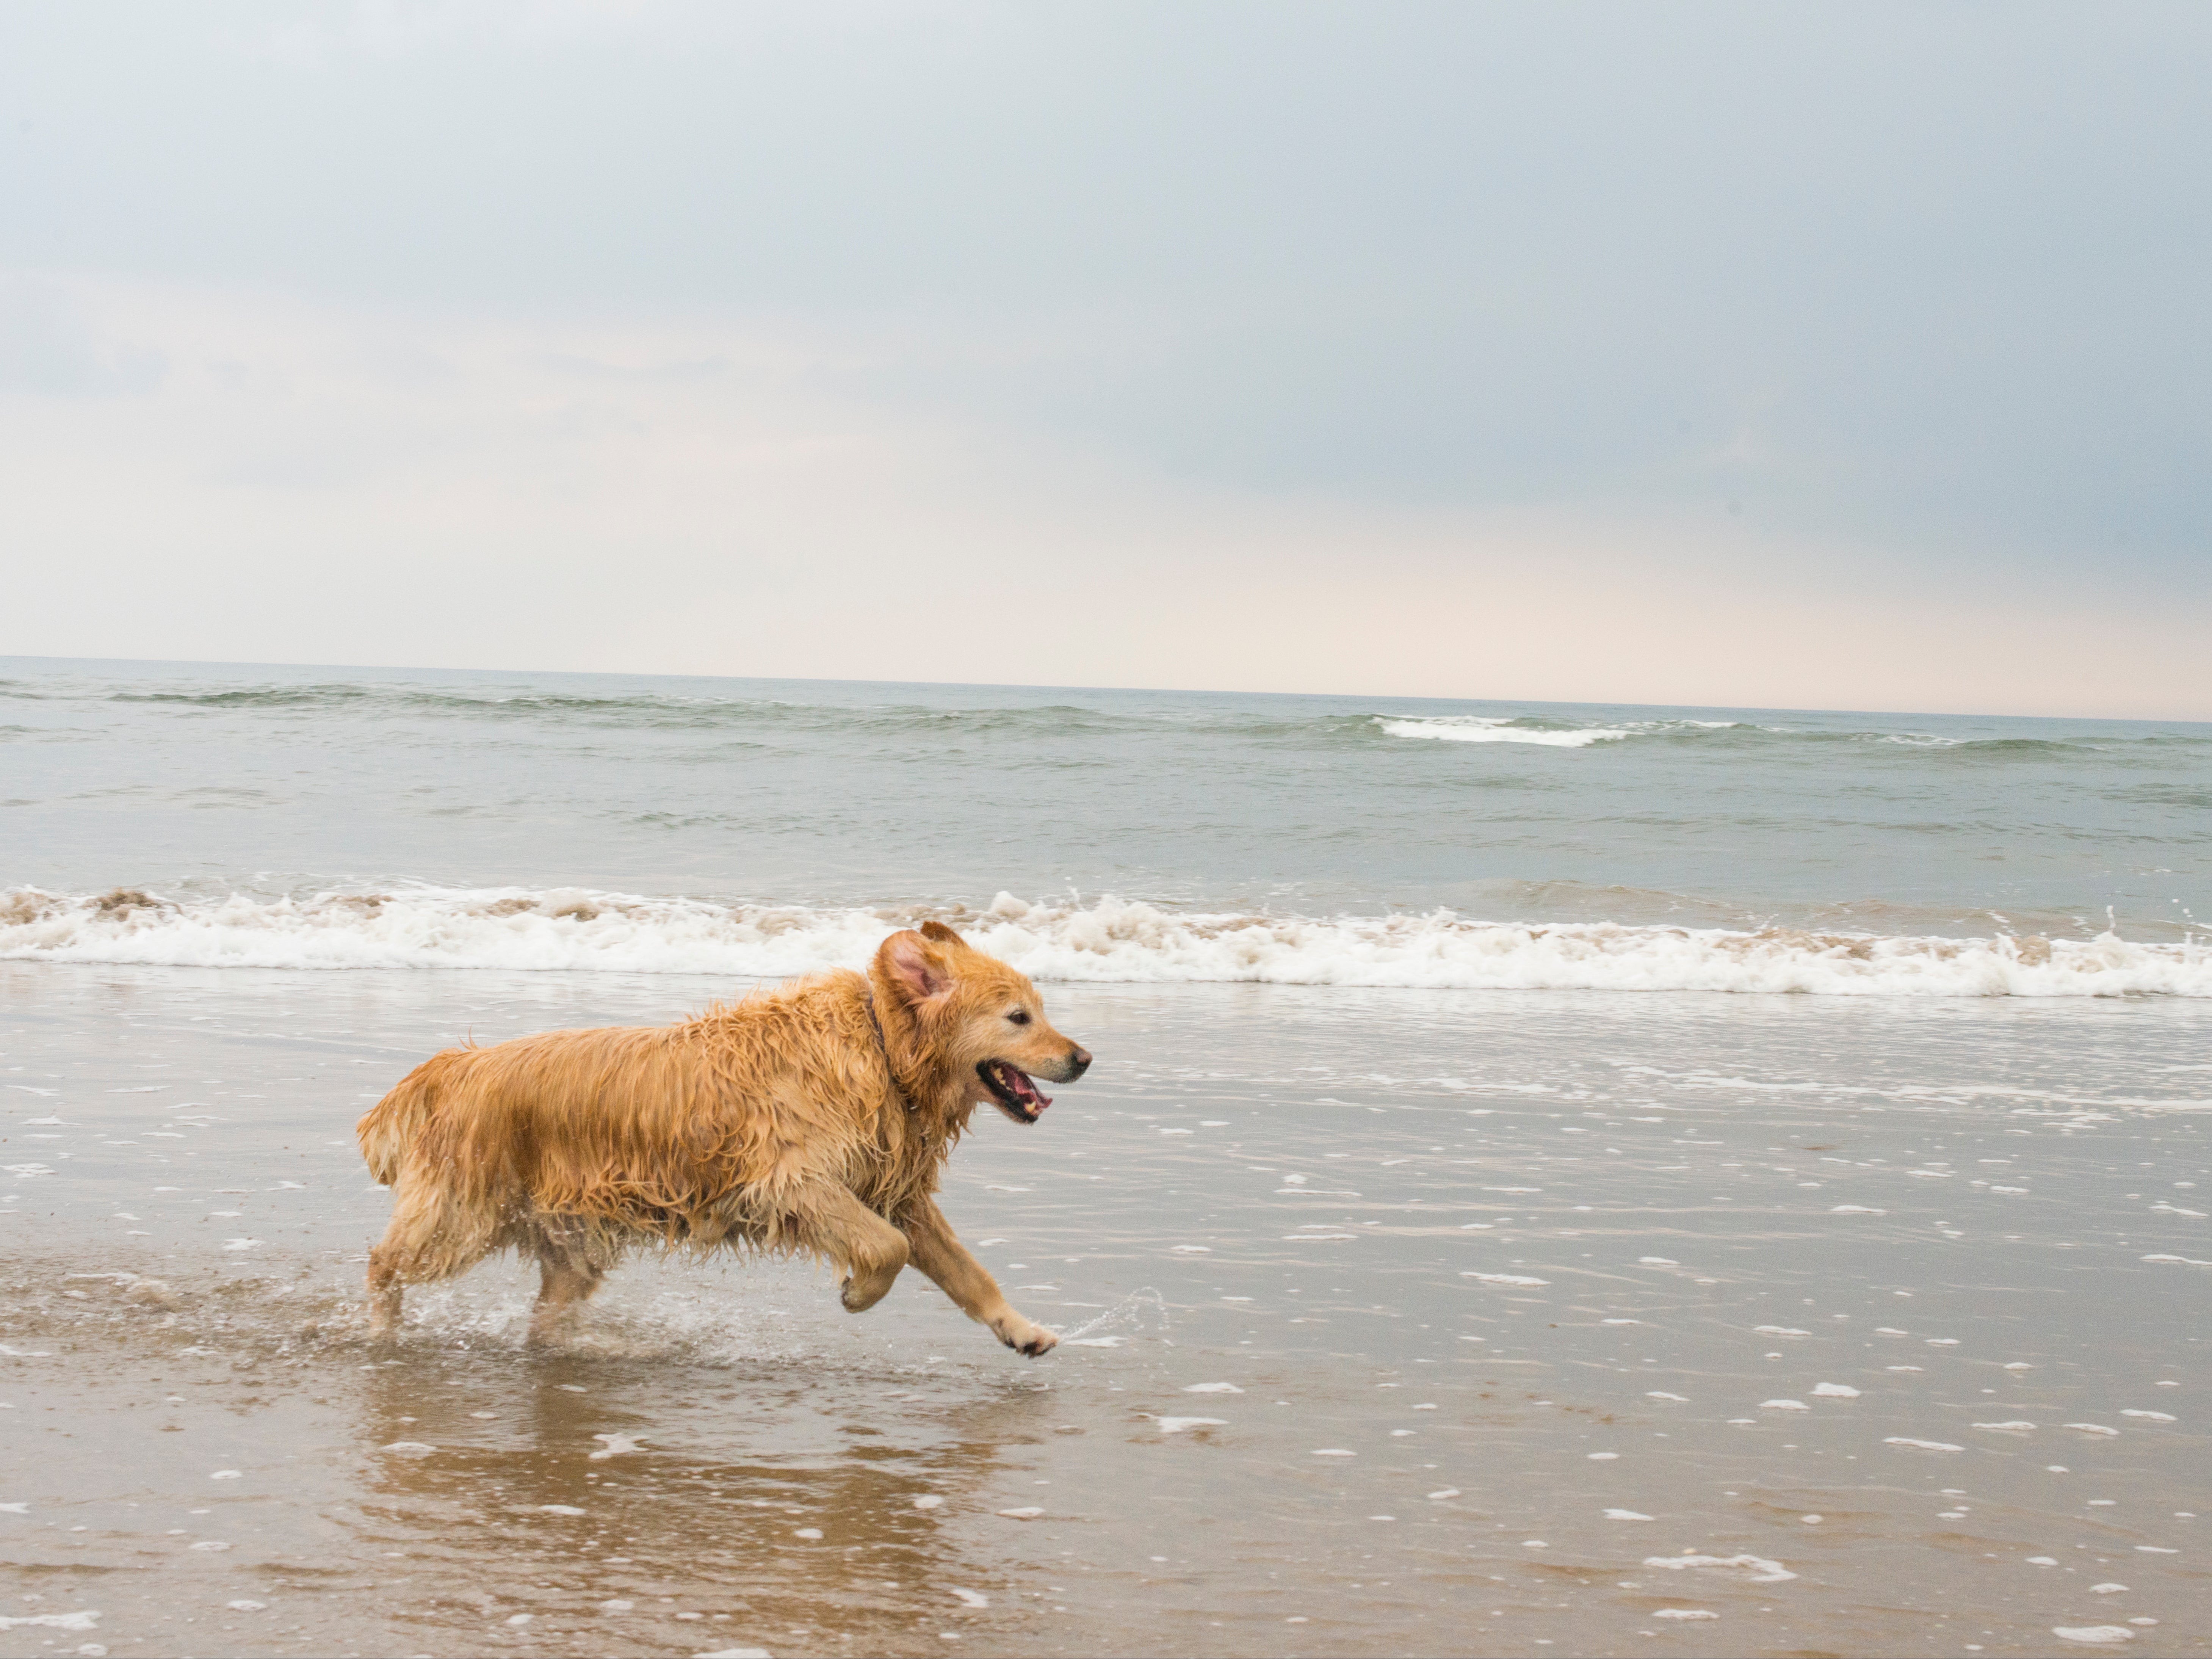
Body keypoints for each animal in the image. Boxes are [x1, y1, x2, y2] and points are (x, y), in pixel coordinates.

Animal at [354, 929, 1088, 1353]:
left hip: (571, 1241)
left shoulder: (894, 1189)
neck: (881, 1047)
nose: (1083, 1059)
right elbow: (887, 1247)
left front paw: (1022, 1330)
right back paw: (381, 1333)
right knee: (384, 1263)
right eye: (1018, 1018)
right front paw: (857, 1291)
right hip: (463, 1216)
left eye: (1039, 1010)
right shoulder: (793, 1181)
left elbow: (966, 1271)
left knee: (545, 1319)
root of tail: (454, 1067)